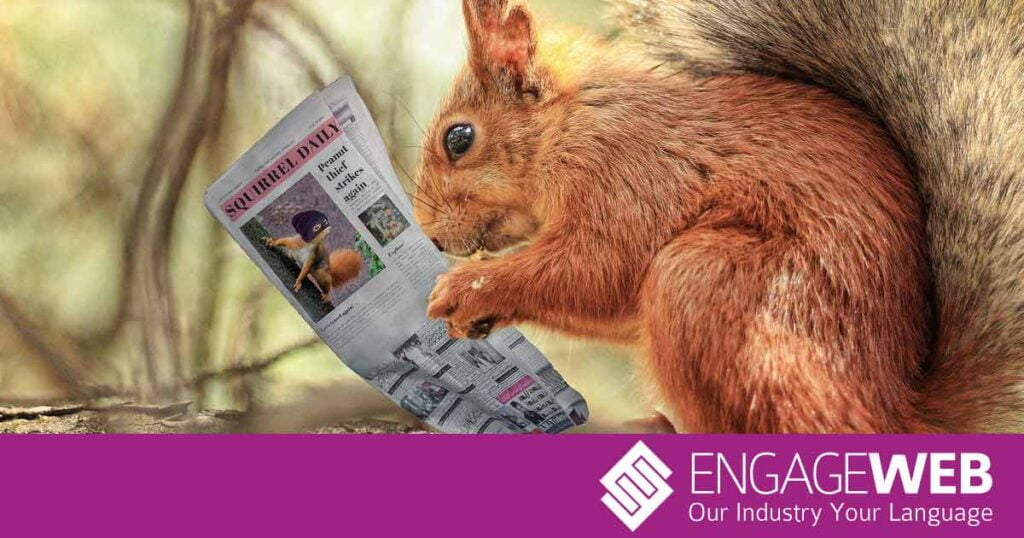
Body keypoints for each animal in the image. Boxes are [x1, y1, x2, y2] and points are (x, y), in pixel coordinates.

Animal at [414, 0, 1024, 432]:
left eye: (459, 138)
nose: (432, 238)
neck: (572, 120)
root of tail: (898, 412)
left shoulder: (630, 174)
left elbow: (598, 269)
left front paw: (469, 287)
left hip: (709, 285)